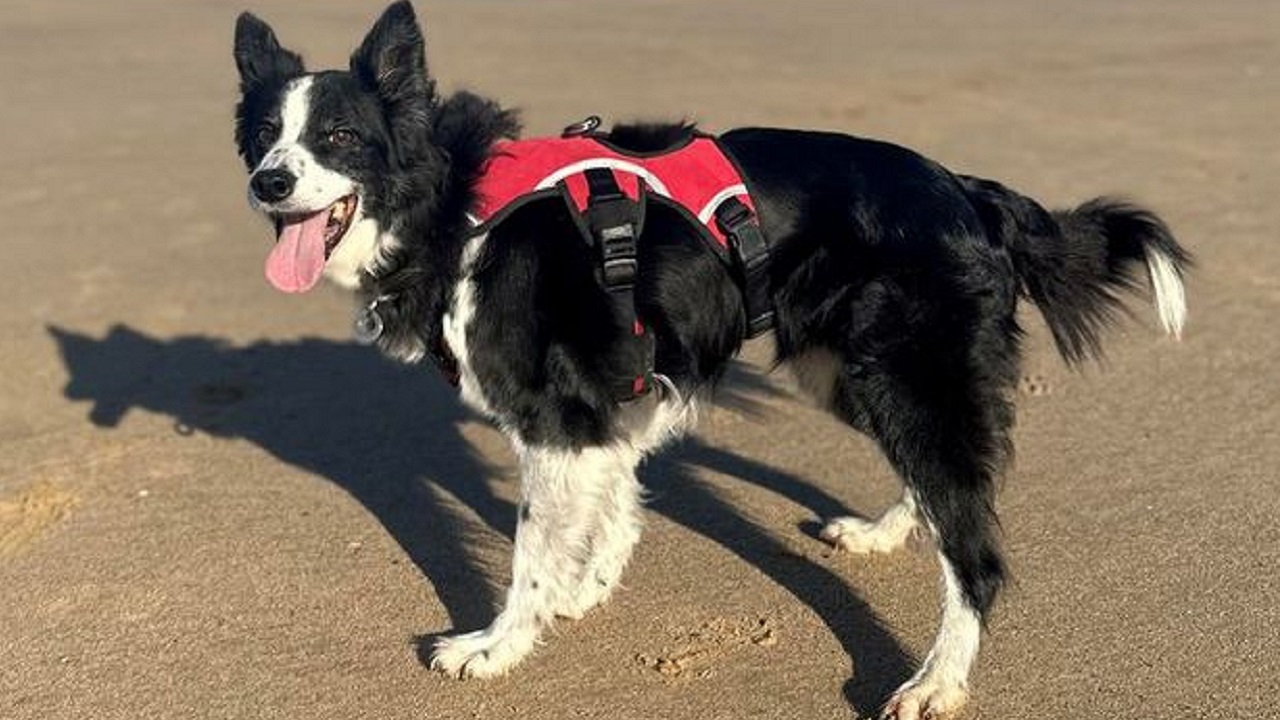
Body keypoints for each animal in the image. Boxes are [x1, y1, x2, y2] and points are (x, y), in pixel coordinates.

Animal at [230, 2, 1187, 712]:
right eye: (265, 133)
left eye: (340, 137)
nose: (268, 183)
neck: (455, 206)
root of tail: (970, 191)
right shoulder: (616, 396)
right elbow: (612, 499)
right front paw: (589, 588)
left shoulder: (554, 412)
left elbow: (533, 548)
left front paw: (500, 645)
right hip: (844, 368)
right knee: (944, 491)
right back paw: (882, 533)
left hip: (904, 372)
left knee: (975, 547)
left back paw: (935, 681)